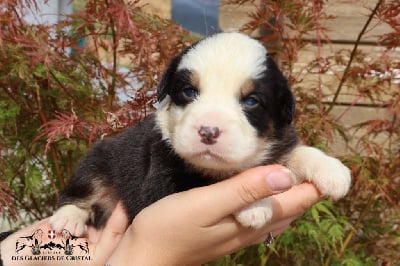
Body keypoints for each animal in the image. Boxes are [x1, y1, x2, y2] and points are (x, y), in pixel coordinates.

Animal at [49, 32, 350, 235]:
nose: (208, 132)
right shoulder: (162, 183)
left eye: (251, 101)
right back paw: (68, 220)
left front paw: (334, 172)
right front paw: (255, 206)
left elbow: (297, 152)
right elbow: (210, 182)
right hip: (97, 158)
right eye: (189, 91)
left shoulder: (277, 146)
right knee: (79, 193)